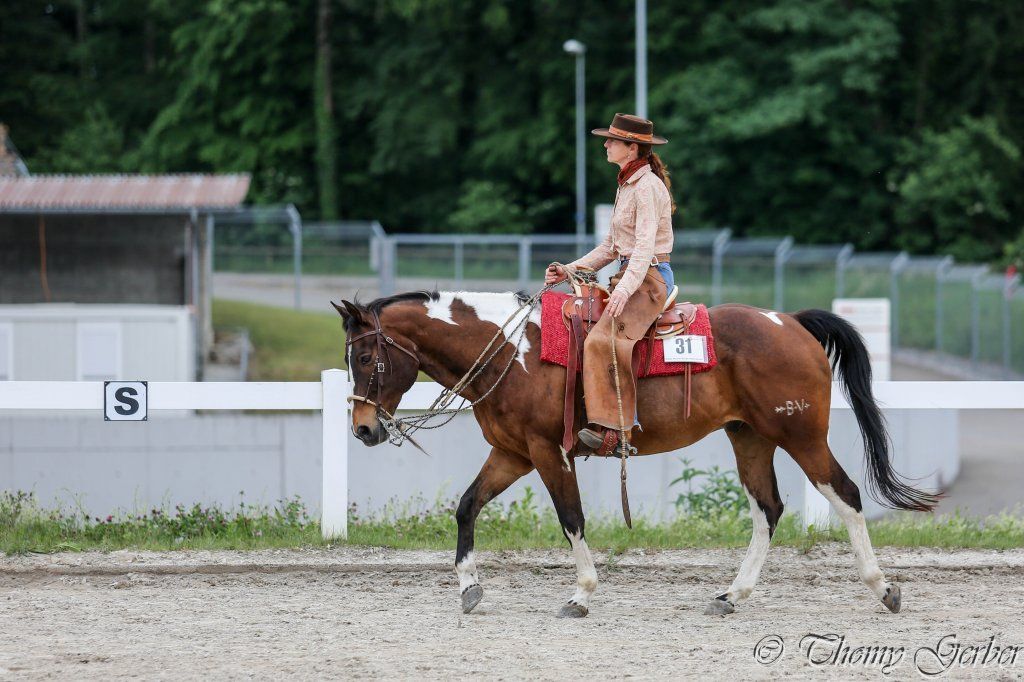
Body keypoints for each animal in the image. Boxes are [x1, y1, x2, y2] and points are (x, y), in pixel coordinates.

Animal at [332, 289, 937, 618]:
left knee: (846, 495)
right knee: (769, 509)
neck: (512, 350)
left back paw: (884, 588)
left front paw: (581, 594)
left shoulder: (548, 452)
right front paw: (469, 588)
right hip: (750, 438)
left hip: (802, 436)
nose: (362, 429)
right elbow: (466, 507)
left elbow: (571, 518)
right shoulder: (512, 453)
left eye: (365, 356)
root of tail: (790, 322)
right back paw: (732, 594)